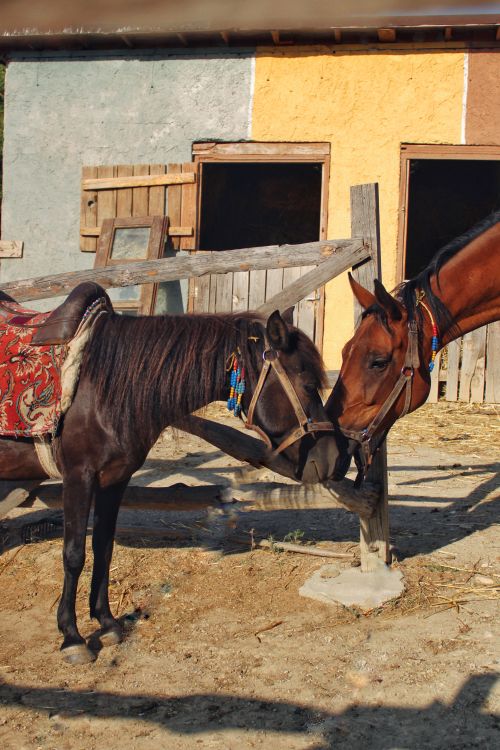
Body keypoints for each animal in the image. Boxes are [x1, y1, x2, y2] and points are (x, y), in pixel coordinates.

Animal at [0, 288, 341, 664]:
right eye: (307, 384)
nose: (334, 460)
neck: (102, 386)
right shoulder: (79, 476)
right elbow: (74, 554)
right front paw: (72, 637)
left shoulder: (114, 479)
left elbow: (104, 547)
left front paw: (107, 623)